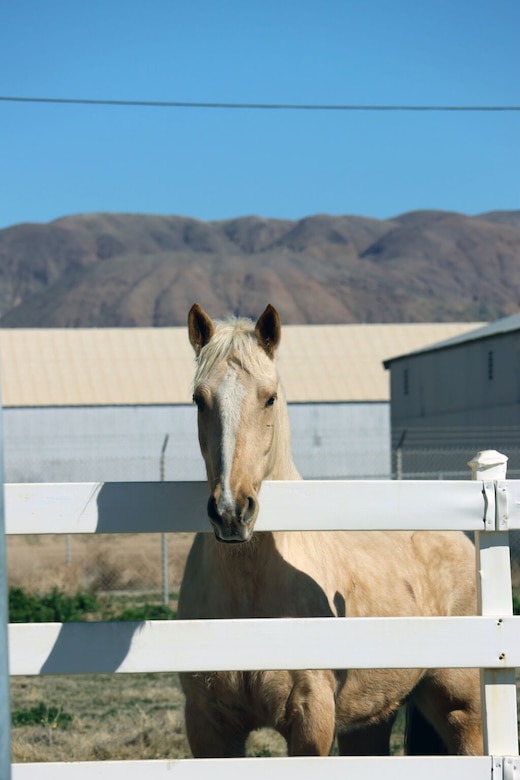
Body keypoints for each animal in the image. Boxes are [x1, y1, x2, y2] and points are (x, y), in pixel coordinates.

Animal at [177, 303, 482, 758]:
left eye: (269, 397)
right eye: (199, 399)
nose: (231, 511)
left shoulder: (310, 720)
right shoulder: (210, 727)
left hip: (460, 709)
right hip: (372, 719)